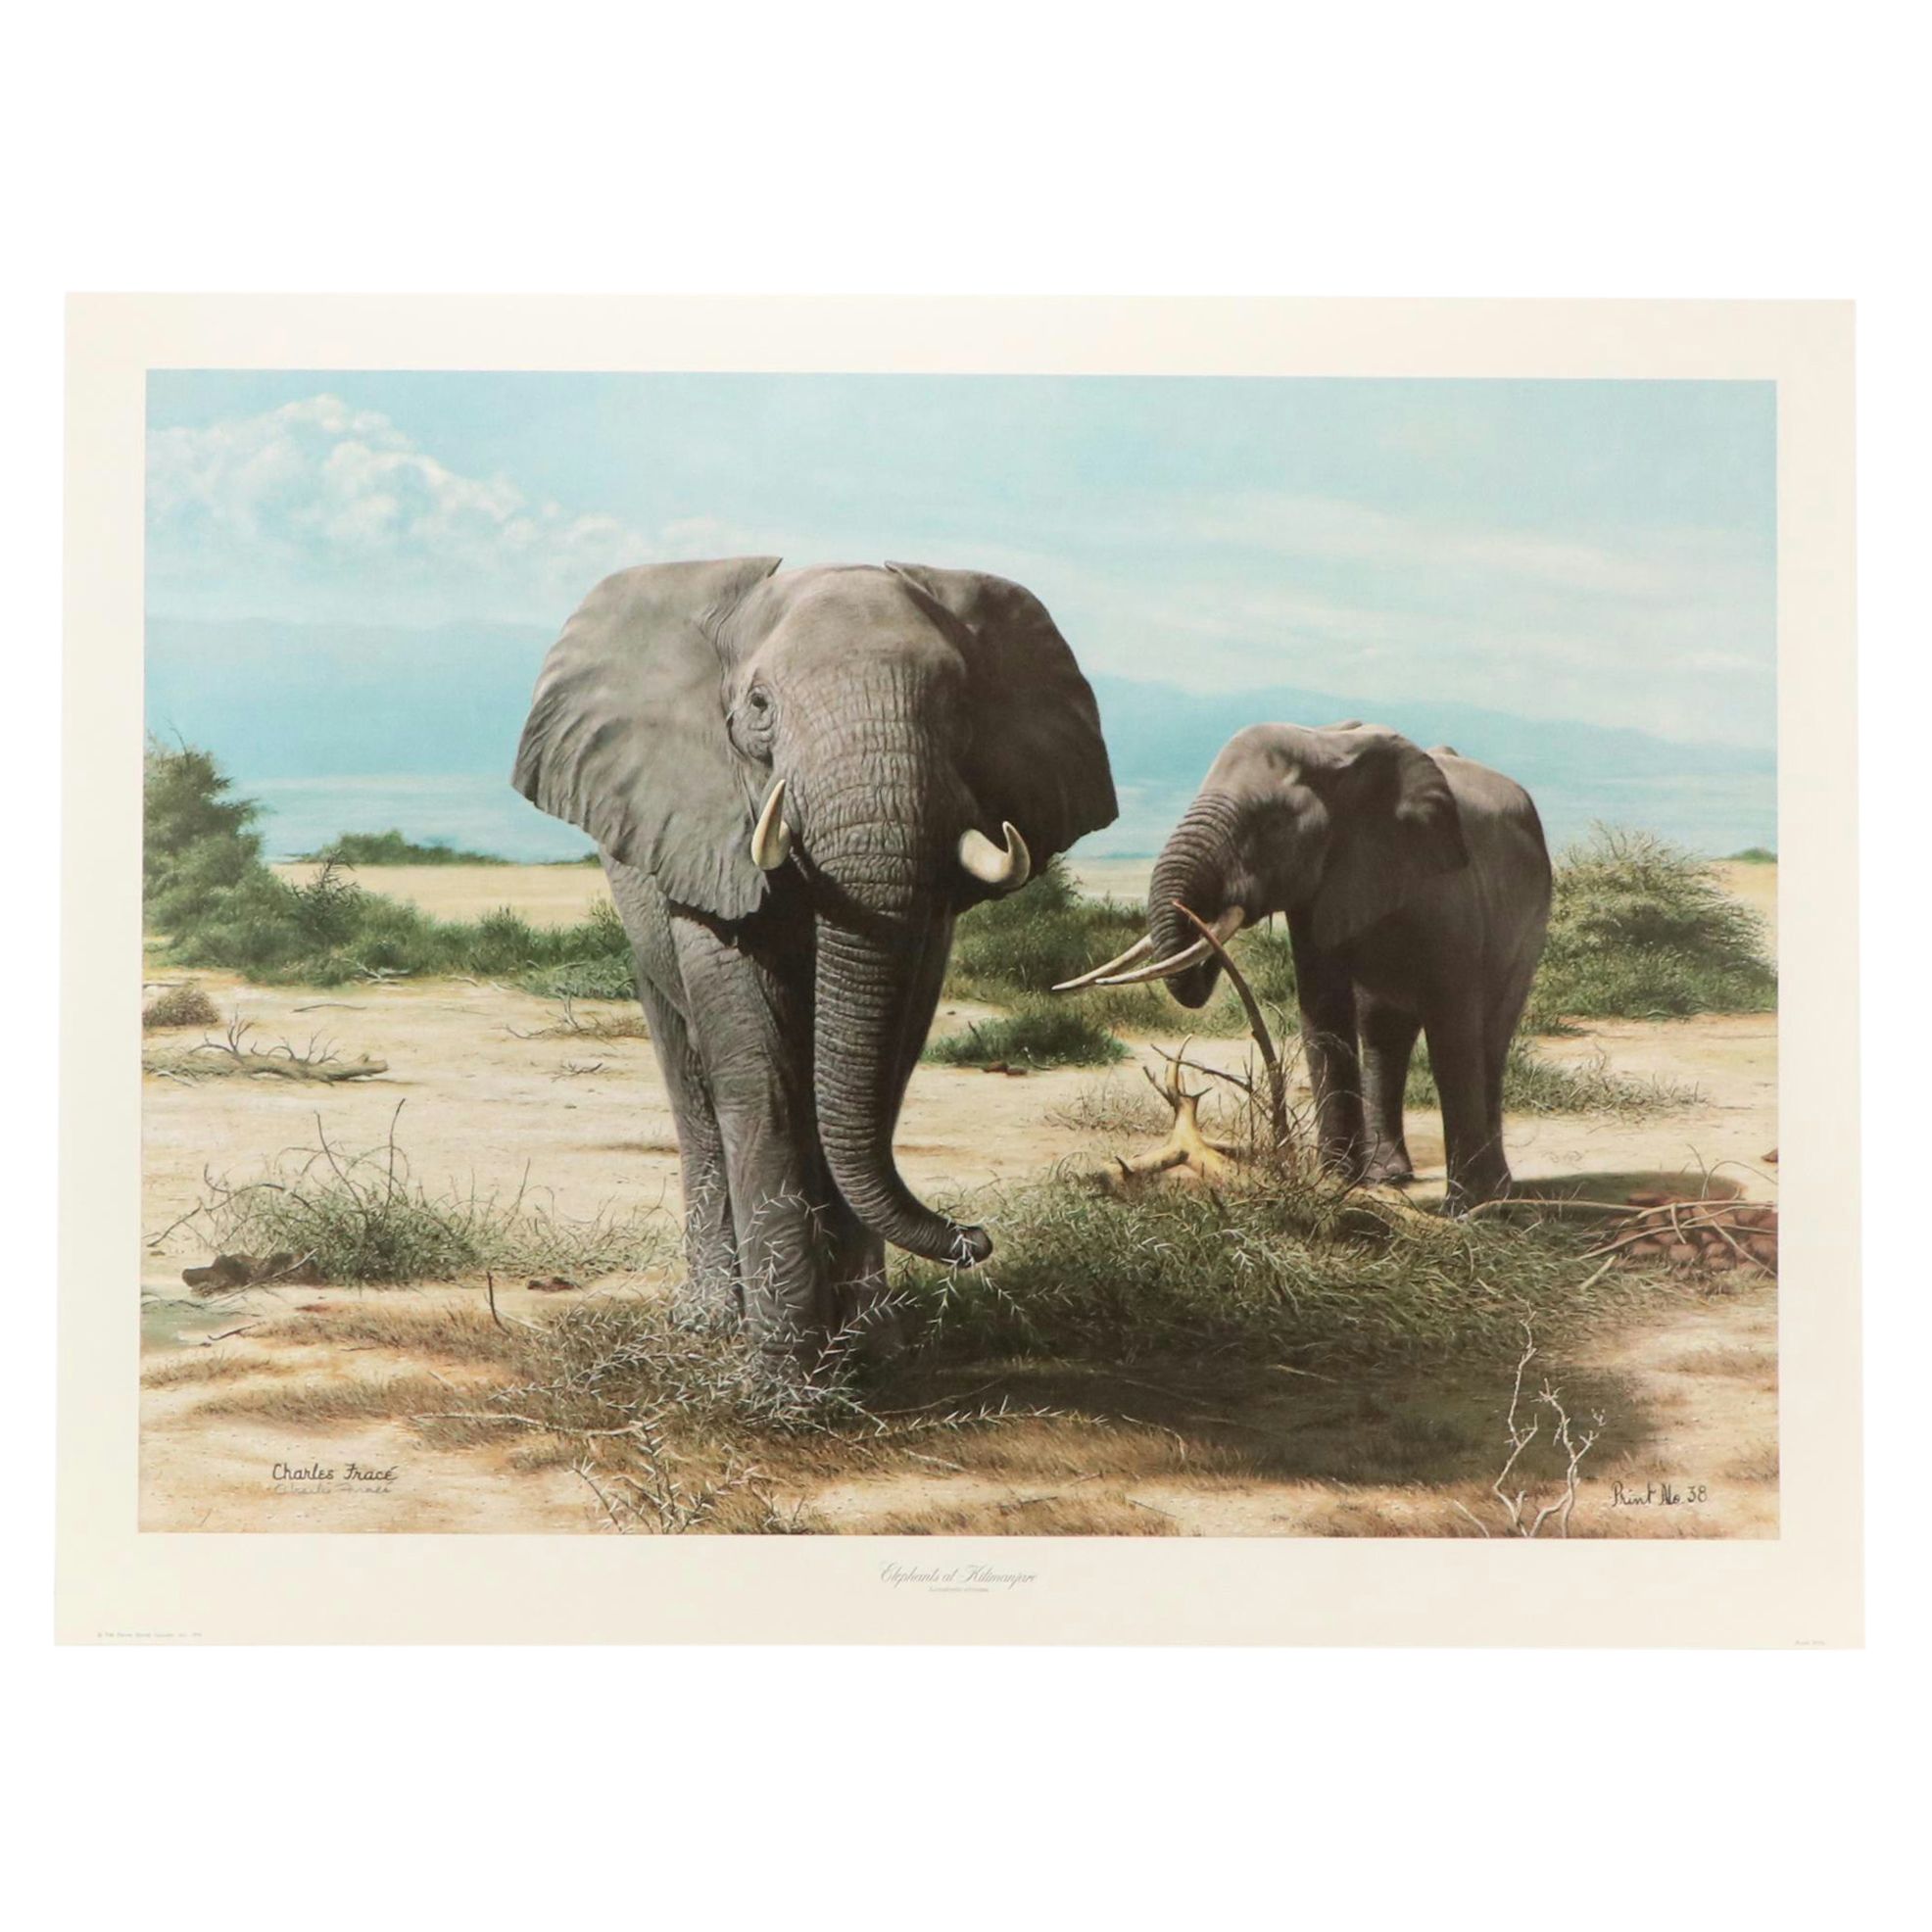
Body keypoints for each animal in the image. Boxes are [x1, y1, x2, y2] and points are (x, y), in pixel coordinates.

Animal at [513, 557, 1116, 1366]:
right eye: (759, 703)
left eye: (958, 705)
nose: (976, 1235)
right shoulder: (704, 828)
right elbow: (754, 1063)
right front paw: (790, 1368)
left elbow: (889, 1056)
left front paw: (872, 1348)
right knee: (690, 1077)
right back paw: (712, 1320)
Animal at [1057, 723, 1550, 1206]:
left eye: (1272, 823)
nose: (1202, 916)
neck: (1328, 744)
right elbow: (1324, 1011)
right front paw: (1337, 1186)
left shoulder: (1450, 890)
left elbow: (1452, 1027)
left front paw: (1468, 1209)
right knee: (1383, 1031)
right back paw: (1389, 1176)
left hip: (1529, 924)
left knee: (1490, 1035)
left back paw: (1496, 1192)